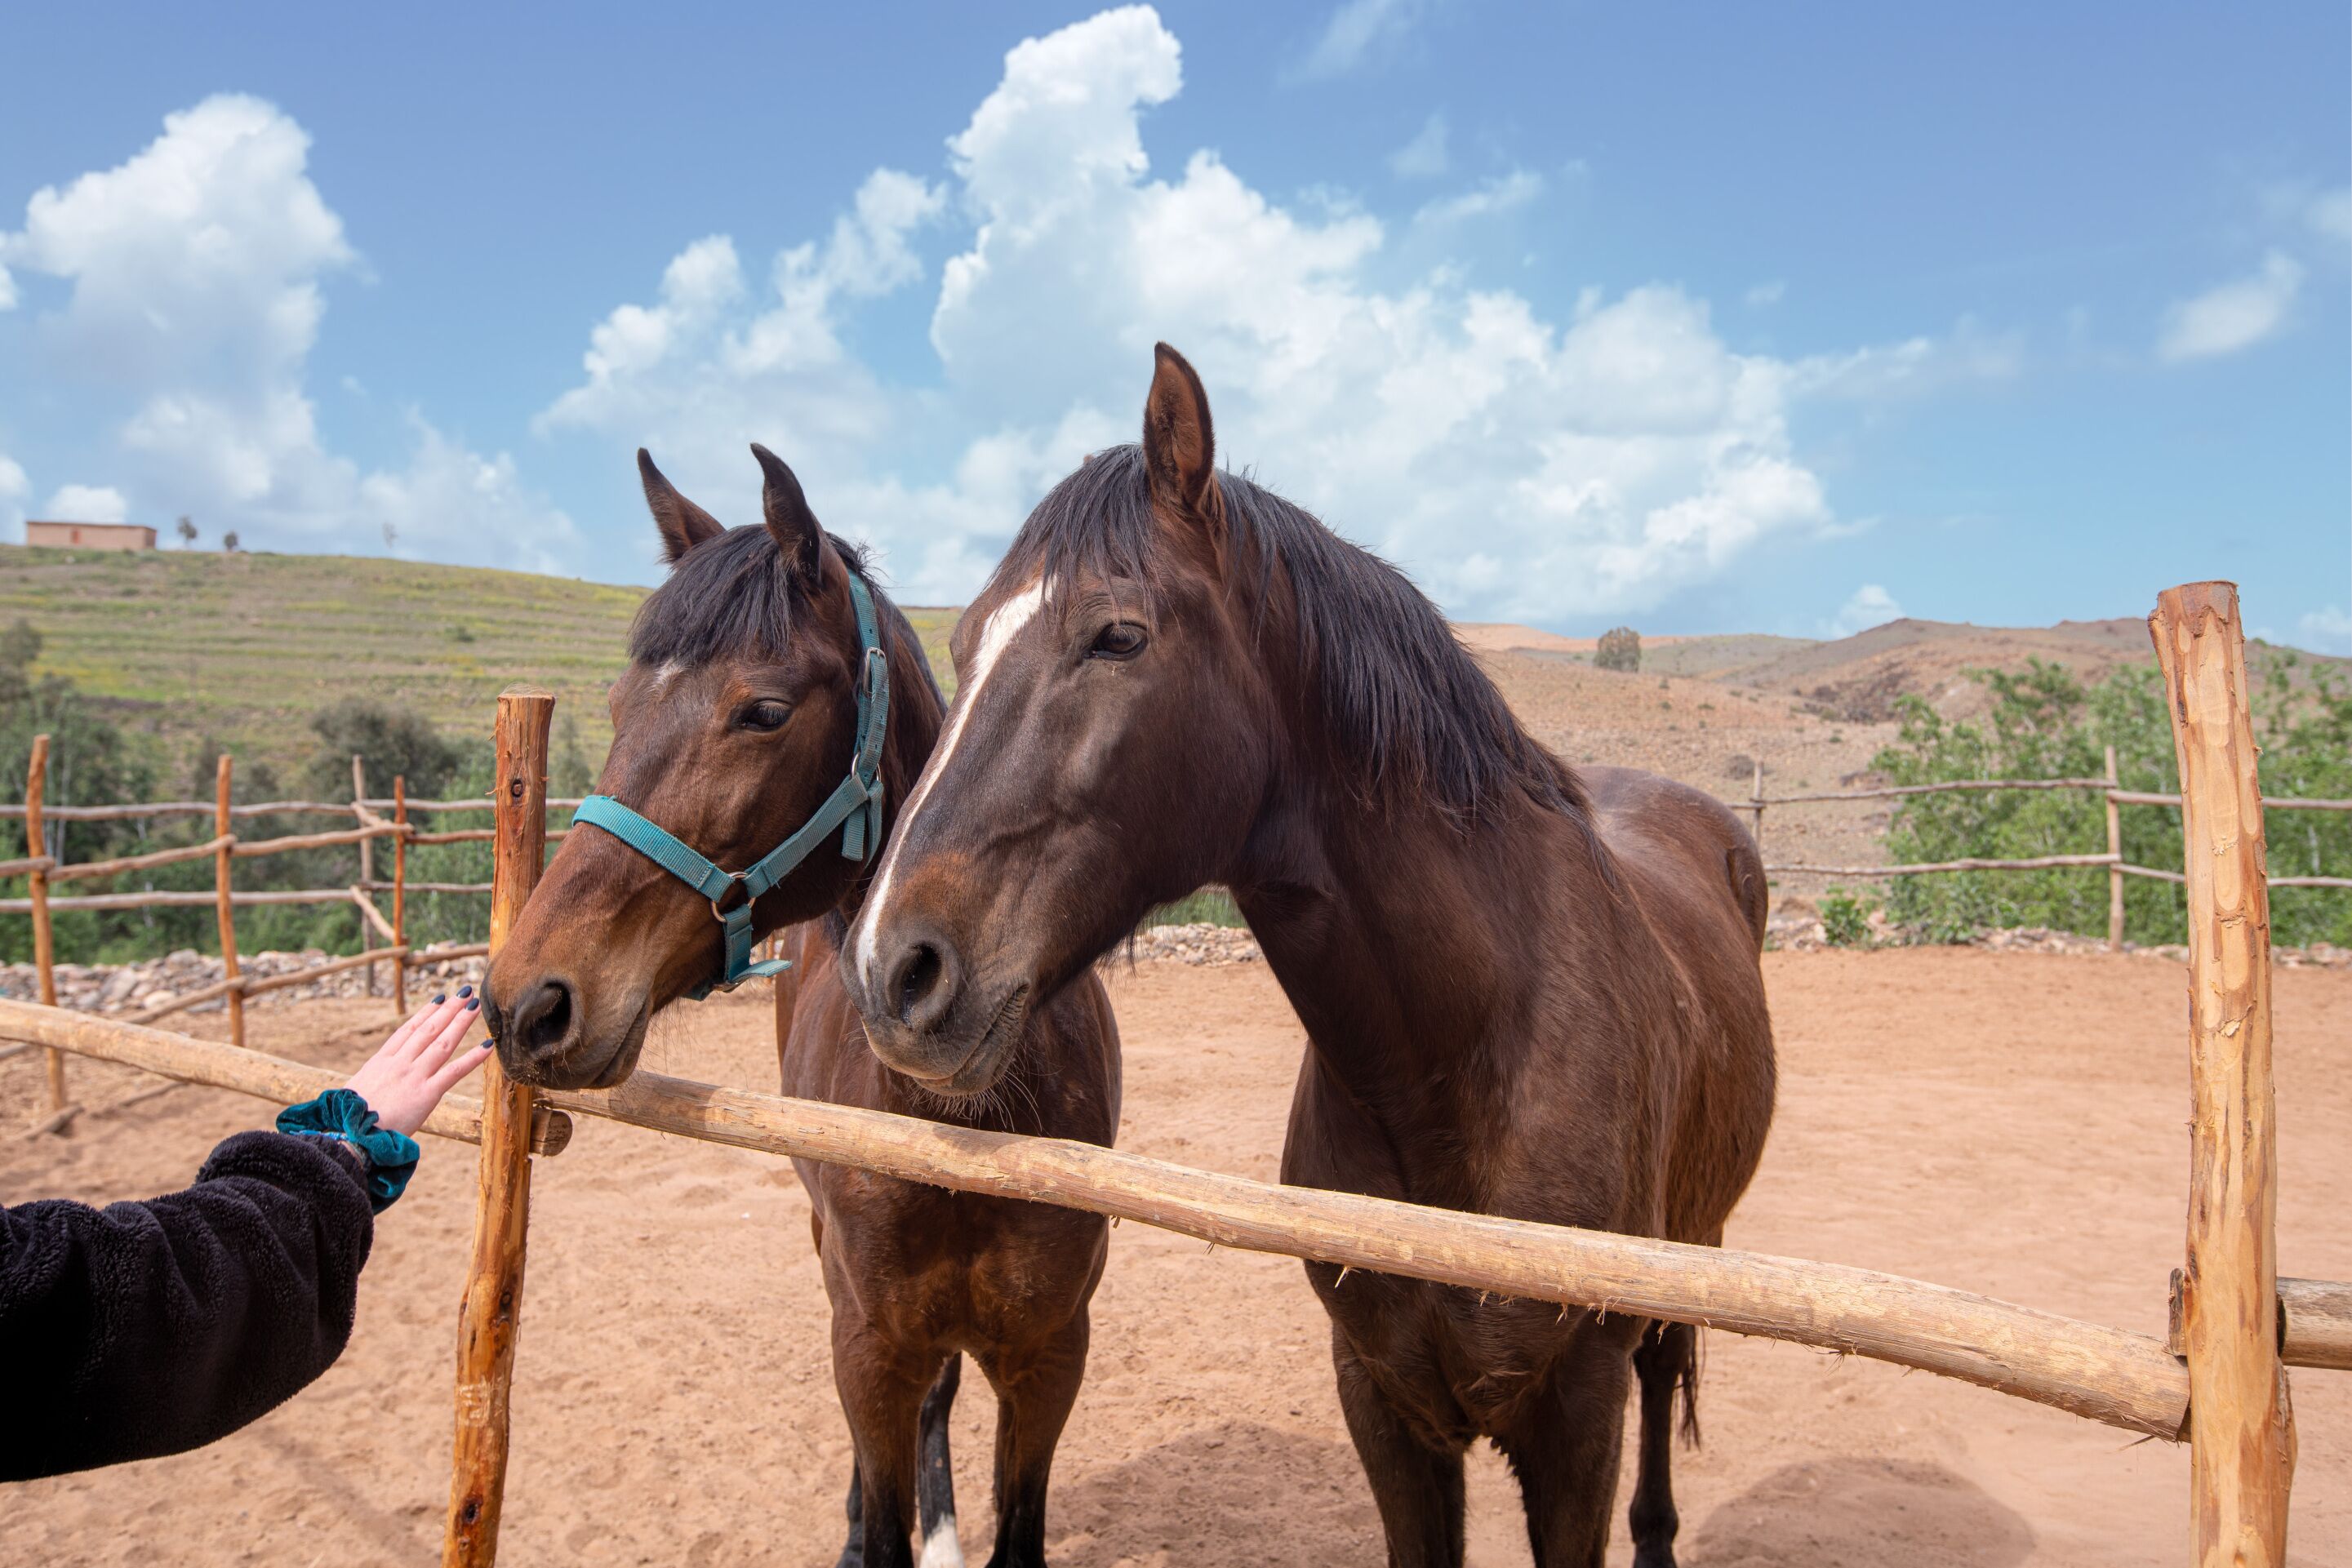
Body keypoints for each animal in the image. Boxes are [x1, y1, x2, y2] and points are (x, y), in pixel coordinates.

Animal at [483, 445, 1121, 1568]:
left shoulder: (1051, 1354)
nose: (528, 1002)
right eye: (616, 704)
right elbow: (880, 1497)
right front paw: (877, 1527)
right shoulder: (867, 1345)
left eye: (764, 711)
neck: (963, 1124)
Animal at [839, 346, 1776, 1568]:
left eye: (1118, 635)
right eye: (958, 646)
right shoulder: (1380, 1400)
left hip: (1684, 1265)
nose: (891, 969)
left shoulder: (1577, 1419)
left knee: (1667, 1385)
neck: (1467, 1062)